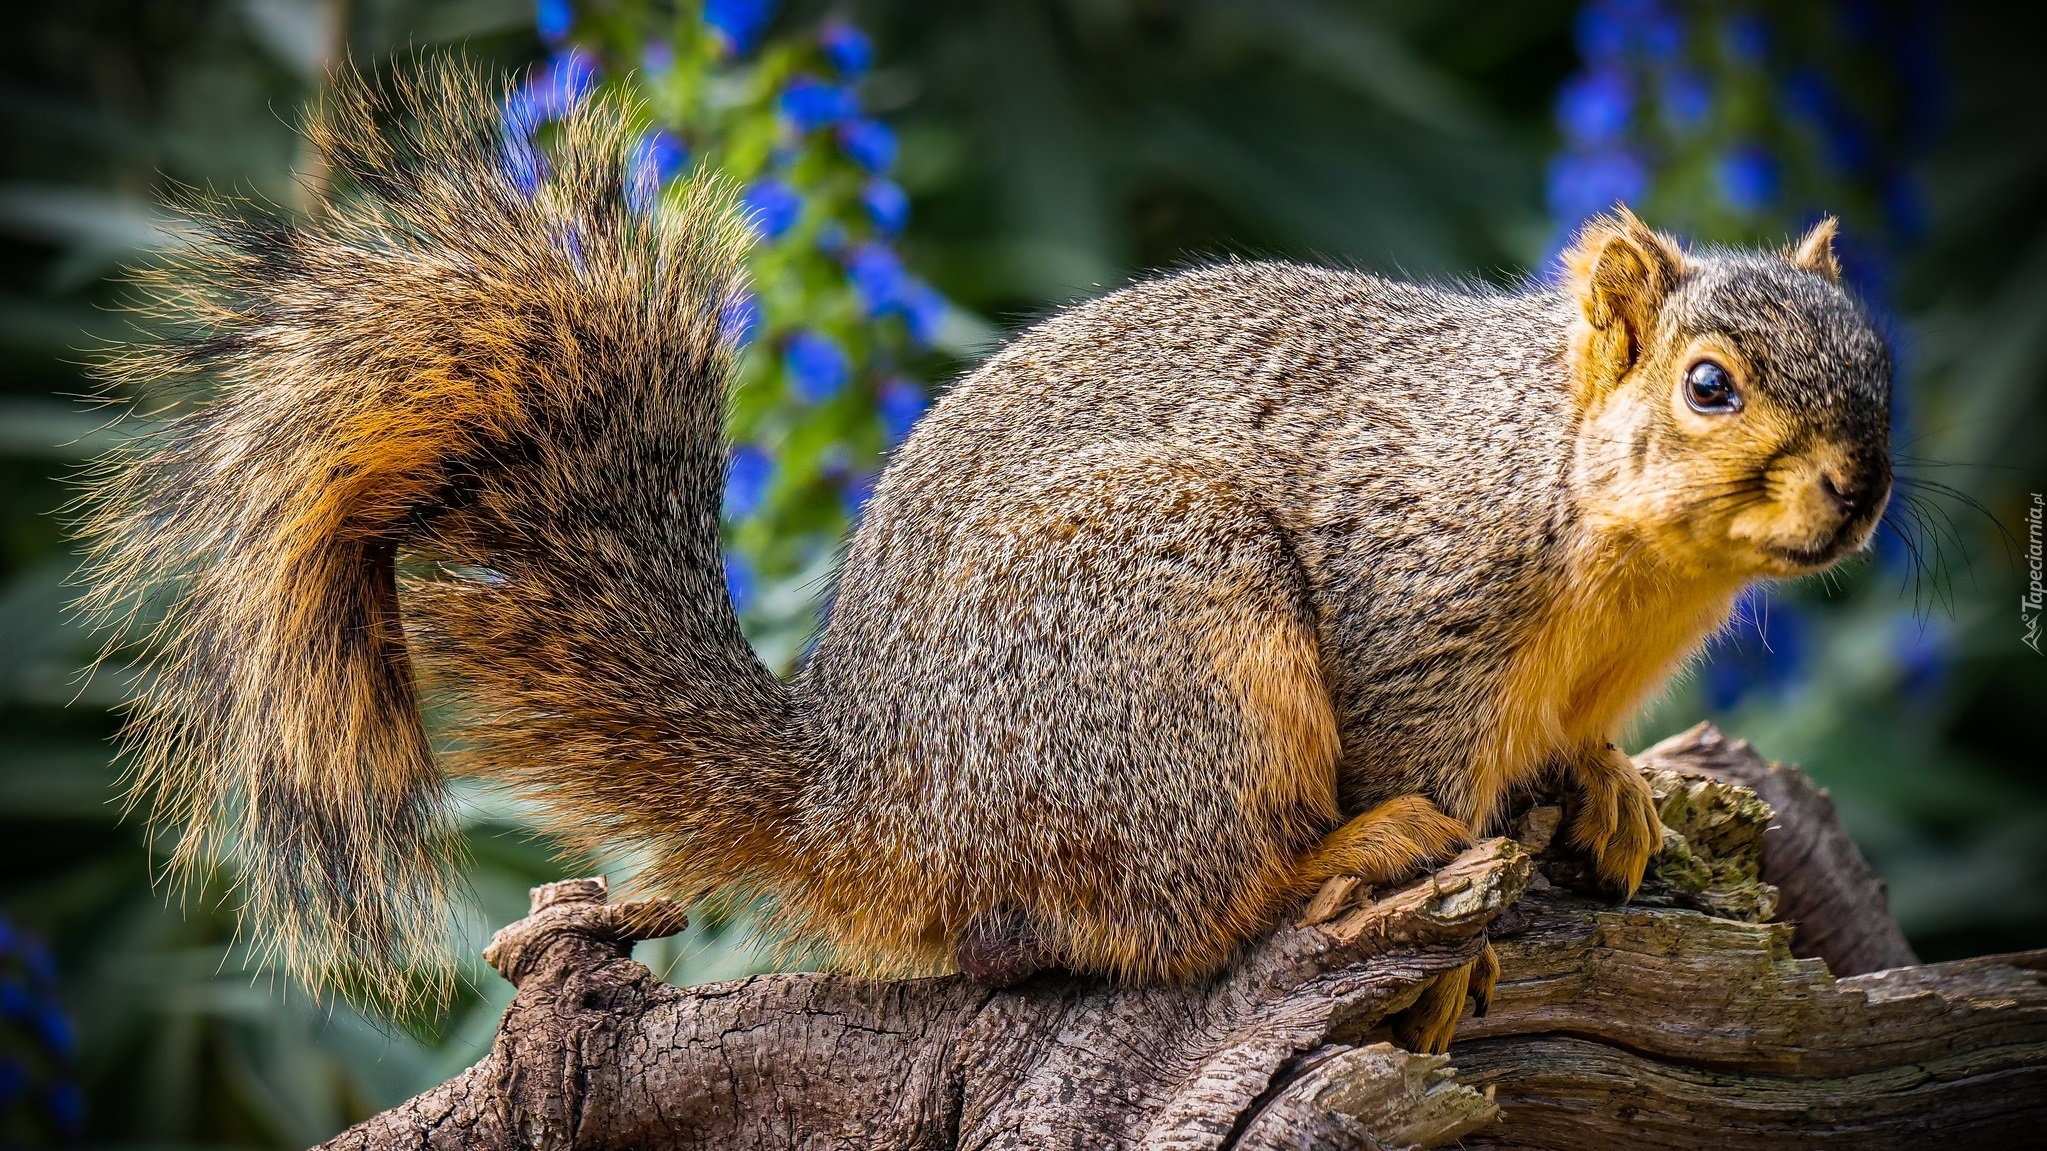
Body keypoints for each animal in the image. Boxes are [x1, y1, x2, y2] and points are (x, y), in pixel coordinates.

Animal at [88, 65, 1891, 1048]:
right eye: (1707, 384)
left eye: (1880, 354)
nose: (1858, 494)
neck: (1608, 544)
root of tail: (864, 795)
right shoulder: (1416, 609)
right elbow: (1423, 757)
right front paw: (1454, 954)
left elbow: (1577, 745)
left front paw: (1610, 789)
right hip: (1165, 635)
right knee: (1178, 915)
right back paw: (1346, 857)